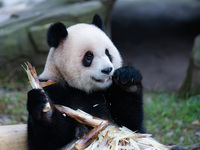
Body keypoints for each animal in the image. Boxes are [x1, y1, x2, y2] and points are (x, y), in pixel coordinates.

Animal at [27, 14, 145, 150]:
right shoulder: (54, 88)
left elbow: (131, 126)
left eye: (107, 53)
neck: (86, 90)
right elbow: (46, 140)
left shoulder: (109, 90)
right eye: (89, 57)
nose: (107, 70)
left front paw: (129, 81)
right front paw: (45, 108)